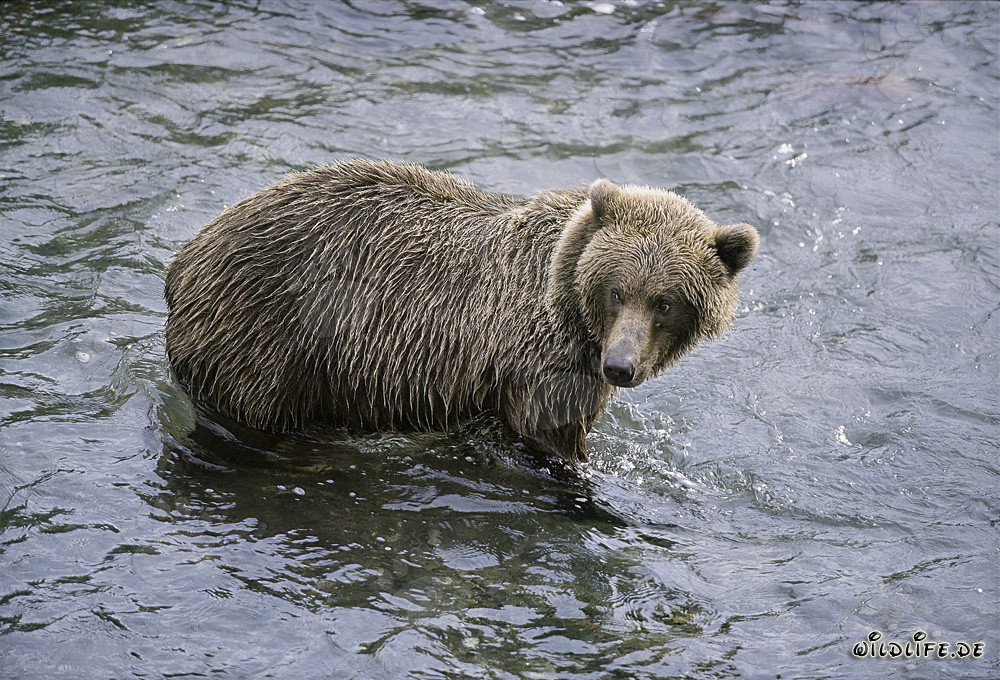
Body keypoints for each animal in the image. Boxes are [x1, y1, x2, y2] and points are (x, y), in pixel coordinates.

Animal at [164, 160, 758, 463]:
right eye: (617, 291)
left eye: (665, 302)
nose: (620, 366)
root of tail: (186, 256)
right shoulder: (540, 368)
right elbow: (552, 439)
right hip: (268, 338)